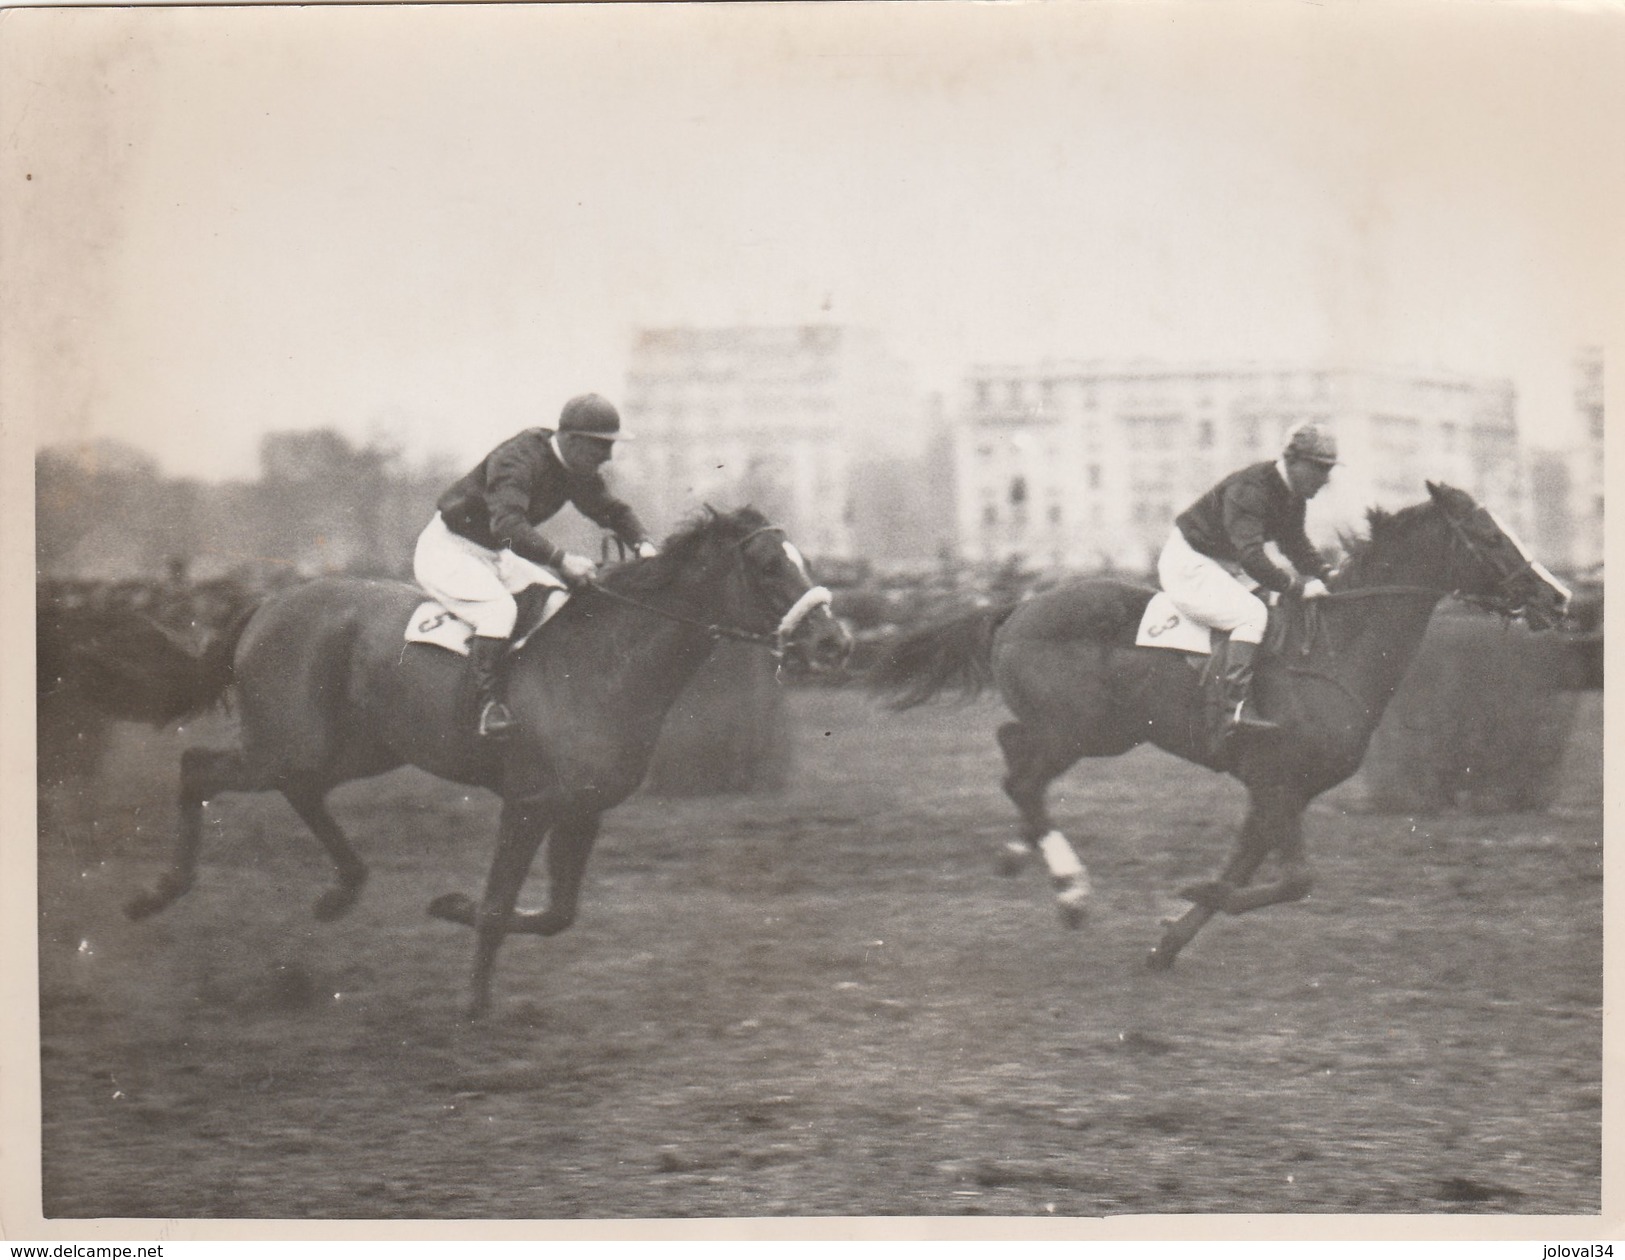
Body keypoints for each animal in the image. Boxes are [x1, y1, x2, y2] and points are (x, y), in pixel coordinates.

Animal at [108, 507, 858, 1021]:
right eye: (769, 567)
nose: (834, 641)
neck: (605, 660)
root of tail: (271, 600)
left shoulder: (582, 808)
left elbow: (556, 914)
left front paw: (449, 904)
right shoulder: (527, 803)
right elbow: (500, 907)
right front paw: (473, 1002)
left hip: (354, 748)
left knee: (301, 792)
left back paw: (341, 890)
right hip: (288, 743)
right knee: (198, 767)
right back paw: (160, 891)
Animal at [877, 484, 1573, 968]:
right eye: (1489, 536)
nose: (1559, 598)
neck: (1333, 650)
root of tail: (1019, 607)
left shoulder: (1283, 790)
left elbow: (1246, 865)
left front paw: (1170, 939)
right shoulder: (1276, 779)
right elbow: (1293, 879)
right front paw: (1190, 895)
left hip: (1093, 732)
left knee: (1017, 763)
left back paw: (1022, 854)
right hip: (1082, 730)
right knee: (1021, 774)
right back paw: (1071, 891)